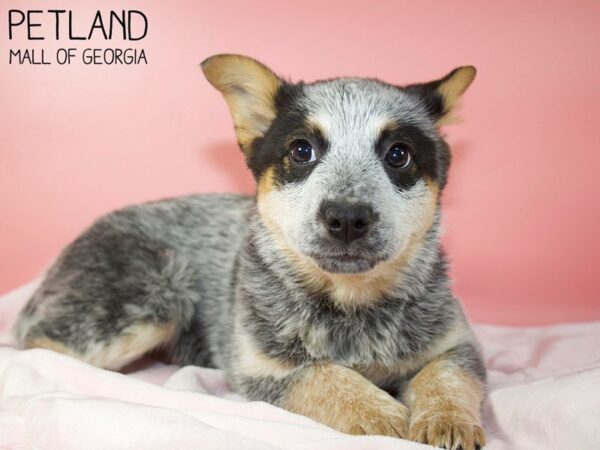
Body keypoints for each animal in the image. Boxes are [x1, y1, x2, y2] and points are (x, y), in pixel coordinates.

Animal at [14, 54, 486, 448]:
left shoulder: (456, 343)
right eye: (301, 150)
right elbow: (323, 376)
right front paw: (384, 415)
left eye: (398, 154)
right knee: (37, 347)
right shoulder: (263, 370)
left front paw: (447, 420)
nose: (347, 217)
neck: (352, 304)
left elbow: (447, 376)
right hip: (154, 294)